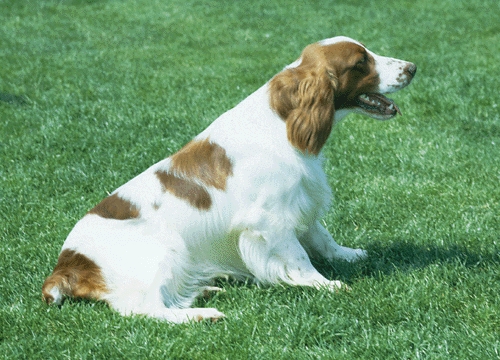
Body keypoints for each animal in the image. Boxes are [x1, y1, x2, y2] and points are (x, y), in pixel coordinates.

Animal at [43, 36, 416, 324]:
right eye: (361, 62)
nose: (412, 67)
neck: (282, 122)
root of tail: (67, 264)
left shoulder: (301, 200)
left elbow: (321, 236)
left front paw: (349, 254)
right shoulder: (268, 219)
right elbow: (299, 256)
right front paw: (325, 283)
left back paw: (205, 287)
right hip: (165, 250)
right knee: (145, 309)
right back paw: (201, 314)